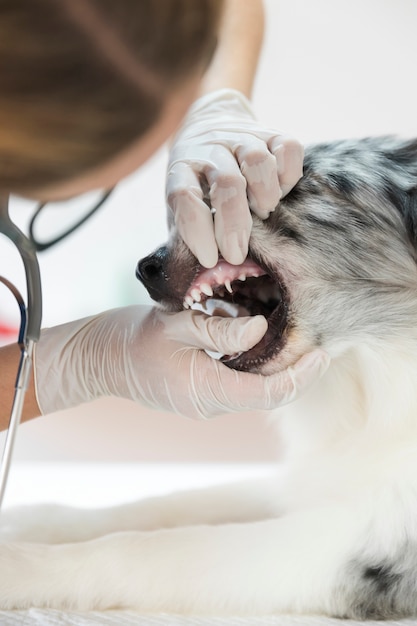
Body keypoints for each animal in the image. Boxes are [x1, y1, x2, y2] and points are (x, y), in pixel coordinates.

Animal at [0, 134, 416, 616]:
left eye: (294, 189)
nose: (146, 267)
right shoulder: (302, 485)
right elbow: (168, 503)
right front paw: (34, 517)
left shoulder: (357, 546)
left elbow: (140, 550)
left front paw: (18, 565)